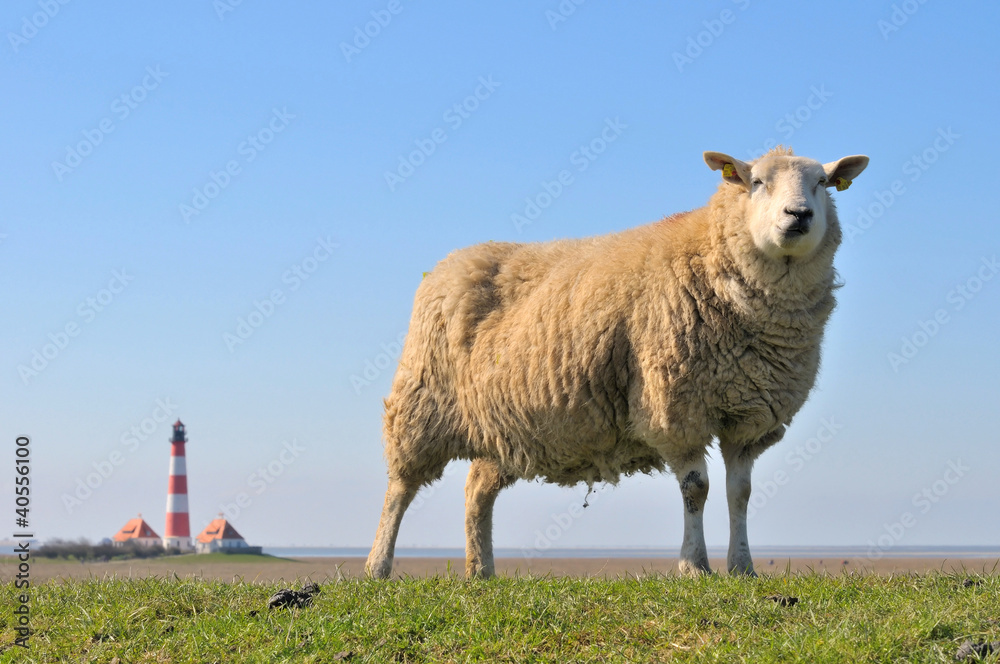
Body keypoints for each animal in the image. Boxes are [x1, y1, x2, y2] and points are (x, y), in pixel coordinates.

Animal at [366, 146, 869, 579]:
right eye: (758, 182)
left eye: (822, 183)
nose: (798, 216)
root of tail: (455, 259)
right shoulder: (677, 407)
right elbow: (696, 489)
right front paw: (694, 566)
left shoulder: (749, 416)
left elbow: (739, 493)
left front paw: (741, 567)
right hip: (422, 402)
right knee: (399, 489)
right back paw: (378, 567)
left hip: (503, 428)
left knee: (476, 492)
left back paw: (480, 572)